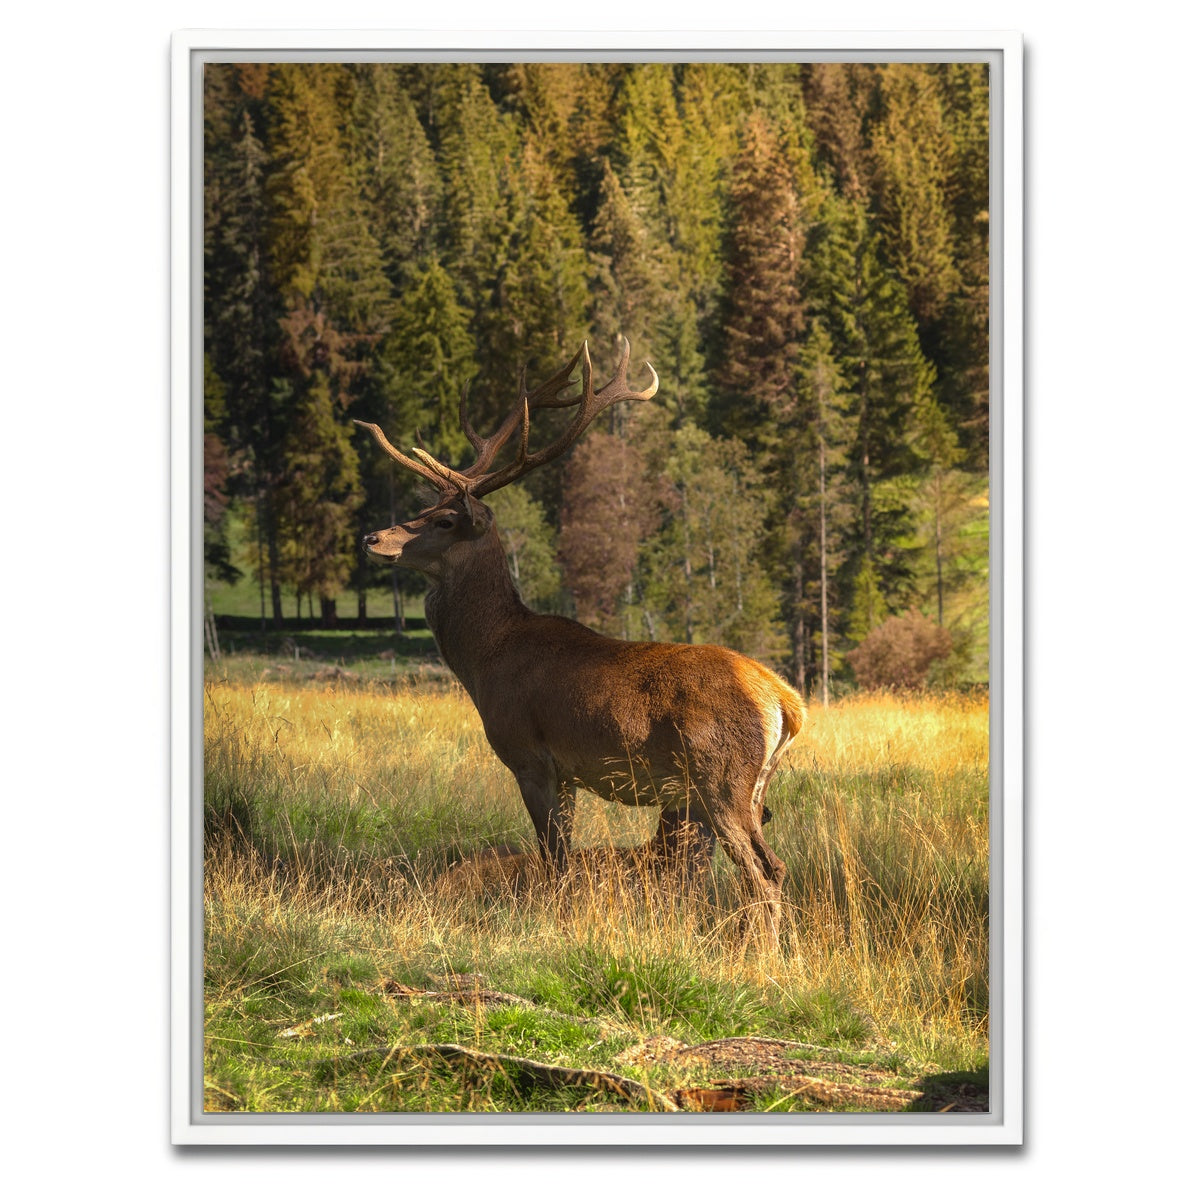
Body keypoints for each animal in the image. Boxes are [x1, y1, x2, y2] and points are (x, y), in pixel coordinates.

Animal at [355, 339, 805, 946]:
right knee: (772, 865)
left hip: (720, 777)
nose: (372, 537)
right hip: (751, 787)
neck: (486, 659)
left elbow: (556, 860)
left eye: (445, 519)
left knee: (763, 870)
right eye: (423, 508)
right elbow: (561, 858)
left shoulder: (530, 754)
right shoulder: (567, 773)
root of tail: (784, 700)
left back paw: (765, 956)